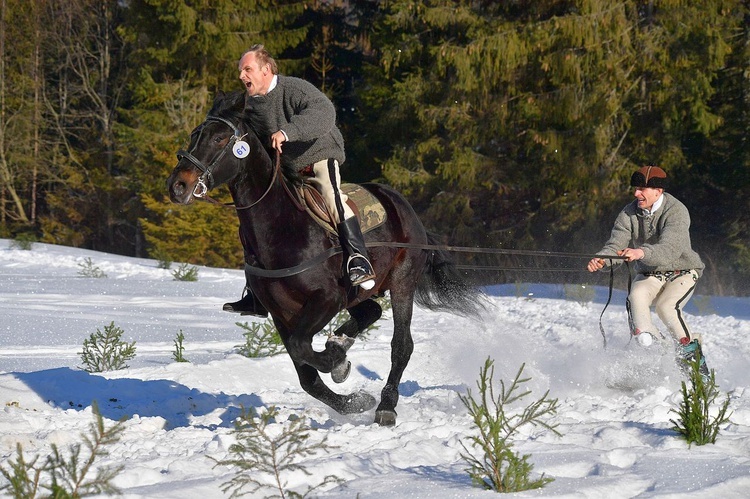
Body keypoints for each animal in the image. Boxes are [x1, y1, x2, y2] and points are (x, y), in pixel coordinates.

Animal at [167, 90, 484, 426]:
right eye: (194, 135)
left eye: (218, 138)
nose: (177, 186)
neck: (282, 227)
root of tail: (404, 207)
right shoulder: (282, 314)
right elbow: (306, 373)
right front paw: (352, 396)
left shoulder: (326, 299)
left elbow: (303, 349)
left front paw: (338, 362)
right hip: (359, 293)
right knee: (370, 311)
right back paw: (341, 343)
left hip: (401, 283)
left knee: (401, 345)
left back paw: (385, 404)